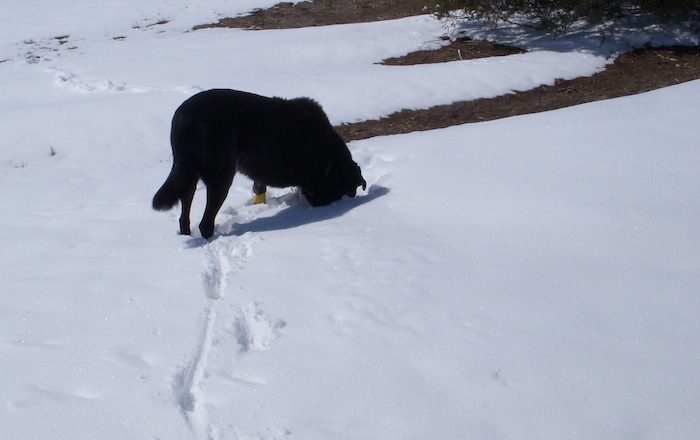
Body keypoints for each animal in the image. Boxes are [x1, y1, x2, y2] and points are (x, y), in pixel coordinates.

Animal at [152, 88, 366, 237]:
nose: (351, 197)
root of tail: (185, 119)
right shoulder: (314, 186)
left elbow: (259, 189)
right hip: (220, 175)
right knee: (206, 222)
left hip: (188, 172)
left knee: (184, 211)